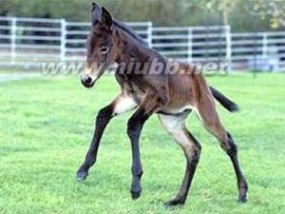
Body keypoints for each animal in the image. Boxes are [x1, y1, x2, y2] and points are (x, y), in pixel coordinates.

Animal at [76, 2, 247, 206]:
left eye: (104, 48)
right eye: (87, 45)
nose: (86, 80)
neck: (137, 64)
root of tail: (201, 79)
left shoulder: (155, 98)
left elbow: (133, 125)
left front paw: (136, 187)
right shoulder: (130, 97)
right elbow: (103, 114)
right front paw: (83, 169)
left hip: (207, 114)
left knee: (228, 143)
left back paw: (242, 193)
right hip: (172, 121)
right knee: (193, 150)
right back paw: (177, 200)